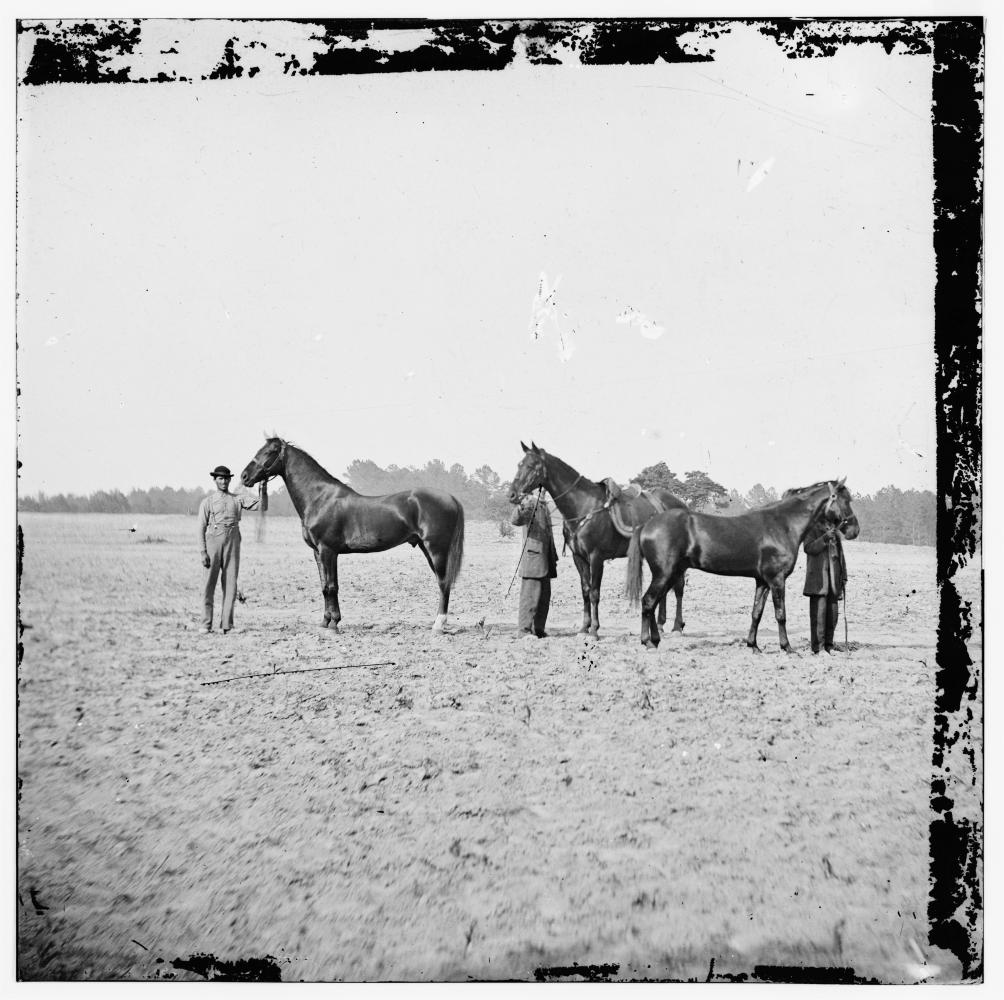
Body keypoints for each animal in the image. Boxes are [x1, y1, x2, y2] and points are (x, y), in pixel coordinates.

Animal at [240, 437, 463, 634]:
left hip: (436, 549)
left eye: (270, 452)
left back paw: (438, 625)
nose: (244, 476)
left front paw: (334, 624)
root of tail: (451, 498)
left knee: (443, 582)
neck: (320, 498)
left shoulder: (328, 551)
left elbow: (332, 587)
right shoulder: (318, 552)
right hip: (426, 547)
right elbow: (324, 586)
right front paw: (325, 622)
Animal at [510, 441, 690, 638]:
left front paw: (594, 631)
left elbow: (595, 593)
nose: (512, 494)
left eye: (532, 465)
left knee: (679, 587)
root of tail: (680, 504)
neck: (584, 506)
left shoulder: (596, 557)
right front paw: (583, 628)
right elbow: (585, 591)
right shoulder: (579, 558)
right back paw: (661, 624)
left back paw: (677, 627)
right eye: (519, 464)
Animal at [626, 479, 855, 650]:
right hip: (664, 574)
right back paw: (647, 642)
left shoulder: (762, 581)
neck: (782, 525)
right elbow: (780, 614)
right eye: (845, 500)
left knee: (652, 603)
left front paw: (753, 646)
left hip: (672, 574)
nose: (854, 529)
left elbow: (756, 613)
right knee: (648, 601)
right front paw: (787, 648)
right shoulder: (777, 580)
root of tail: (647, 525)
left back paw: (655, 640)